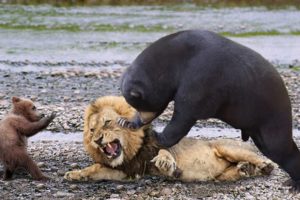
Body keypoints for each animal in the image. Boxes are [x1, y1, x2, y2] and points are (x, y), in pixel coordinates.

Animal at [63, 96, 274, 182]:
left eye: (107, 122)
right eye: (92, 130)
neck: (132, 151)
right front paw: (75, 174)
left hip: (228, 147)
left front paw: (166, 163)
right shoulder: (129, 171)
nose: (97, 140)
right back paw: (244, 169)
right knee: (236, 171)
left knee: (258, 159)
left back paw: (264, 165)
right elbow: (96, 169)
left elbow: (164, 151)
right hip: (221, 175)